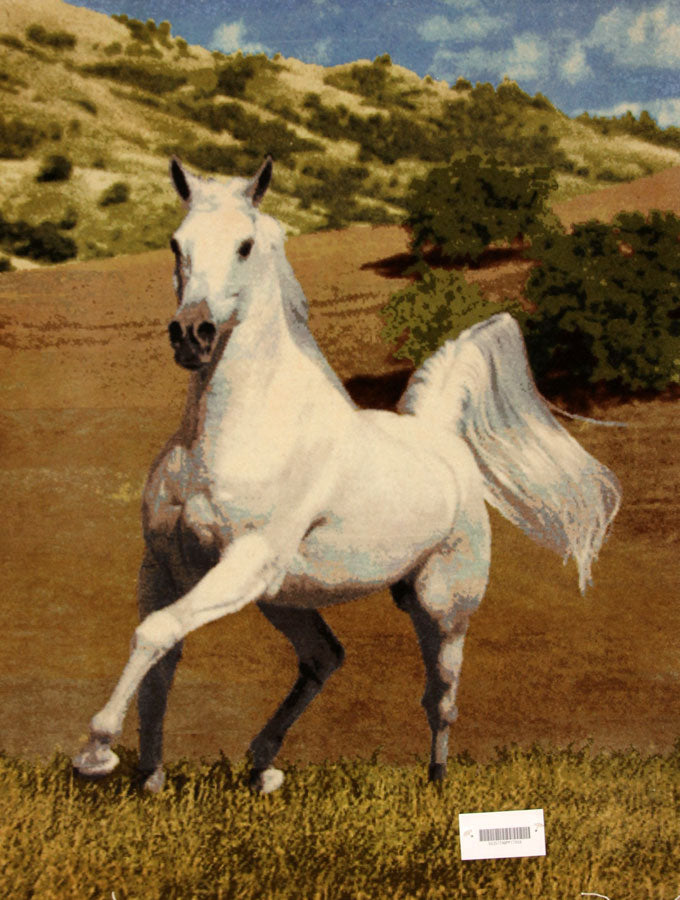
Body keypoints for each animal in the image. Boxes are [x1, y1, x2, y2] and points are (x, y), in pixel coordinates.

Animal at [73, 156, 621, 794]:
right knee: (325, 658)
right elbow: (160, 658)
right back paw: (263, 766)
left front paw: (96, 753)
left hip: (441, 604)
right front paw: (149, 781)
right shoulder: (164, 564)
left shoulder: (243, 560)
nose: (192, 334)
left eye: (244, 245)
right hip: (282, 598)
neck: (235, 432)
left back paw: (435, 782)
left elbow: (155, 634)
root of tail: (440, 438)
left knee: (441, 697)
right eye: (175, 243)